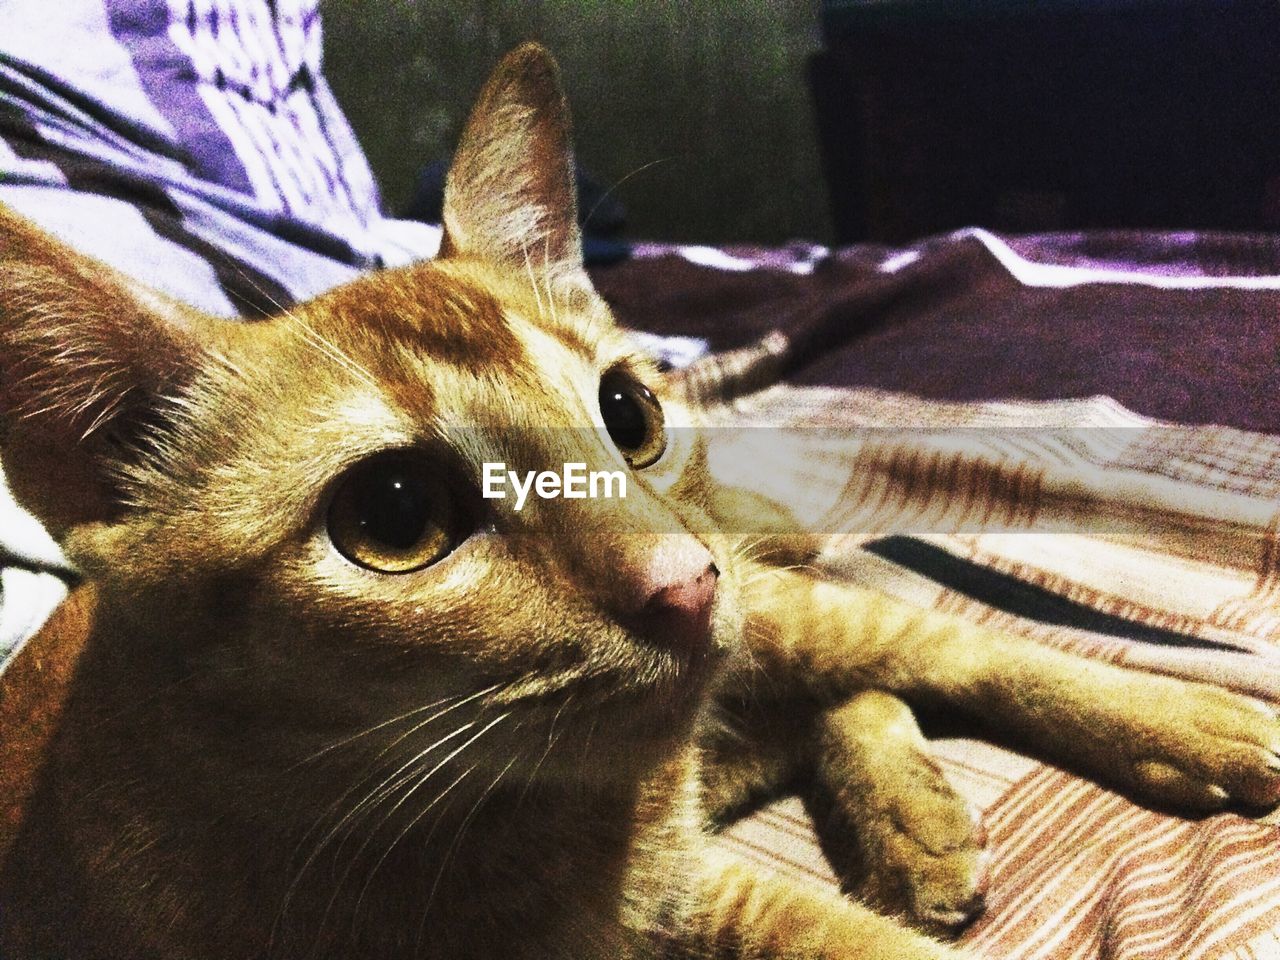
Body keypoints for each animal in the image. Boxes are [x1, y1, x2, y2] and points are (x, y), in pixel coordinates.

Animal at [2, 43, 1280, 960]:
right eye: (396, 517)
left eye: (627, 414)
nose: (684, 585)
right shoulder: (688, 896)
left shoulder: (687, 879)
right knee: (833, 691)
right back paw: (907, 822)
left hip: (779, 611)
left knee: (937, 645)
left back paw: (1189, 725)